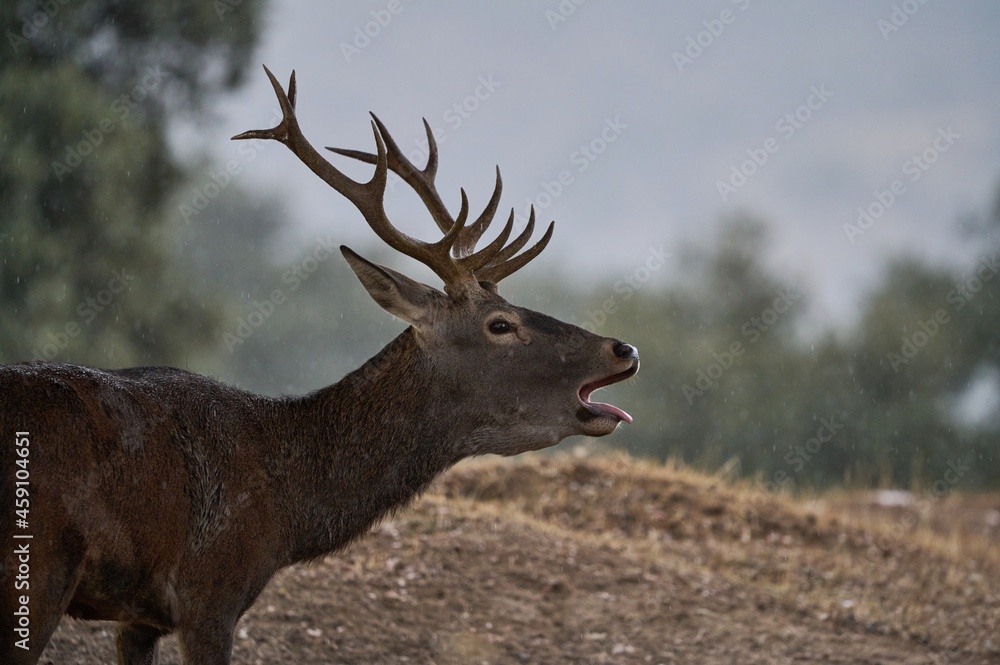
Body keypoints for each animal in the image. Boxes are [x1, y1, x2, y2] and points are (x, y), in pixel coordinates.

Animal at [0, 66, 638, 665]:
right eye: (501, 324)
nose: (623, 349)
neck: (287, 512)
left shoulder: (140, 616)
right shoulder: (211, 590)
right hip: (39, 564)